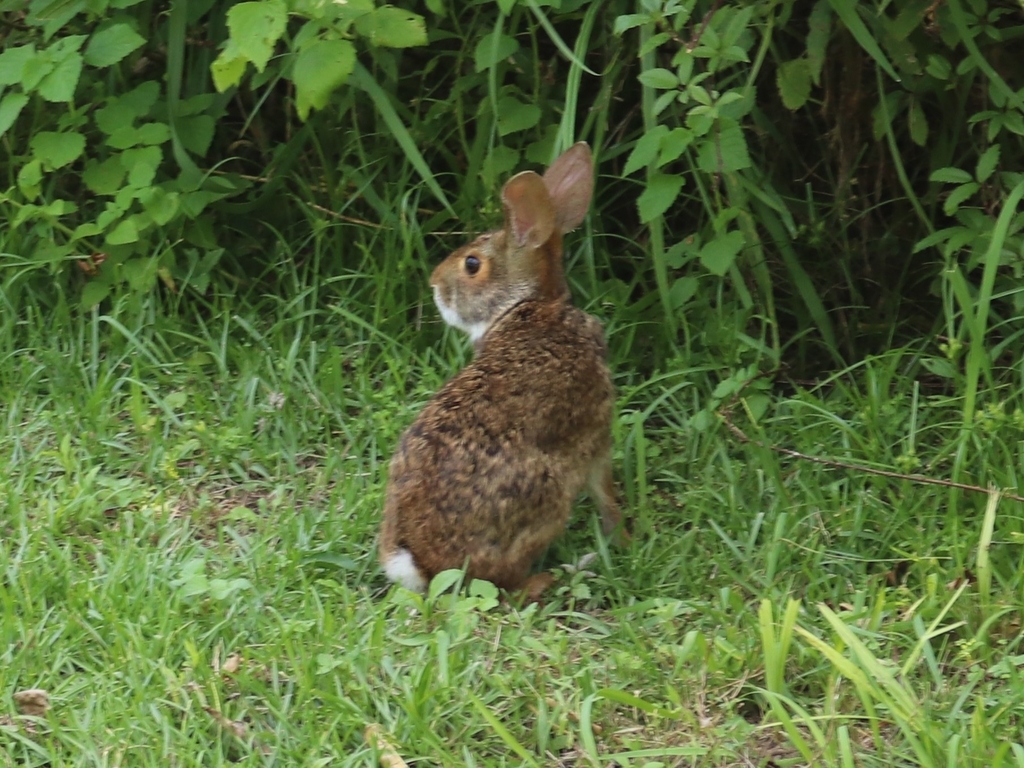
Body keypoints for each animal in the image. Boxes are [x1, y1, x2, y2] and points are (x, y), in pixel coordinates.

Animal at [378, 142, 624, 595]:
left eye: (472, 264)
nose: (435, 285)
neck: (529, 305)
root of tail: (418, 561)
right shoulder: (597, 437)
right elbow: (605, 491)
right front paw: (623, 536)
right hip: (547, 499)